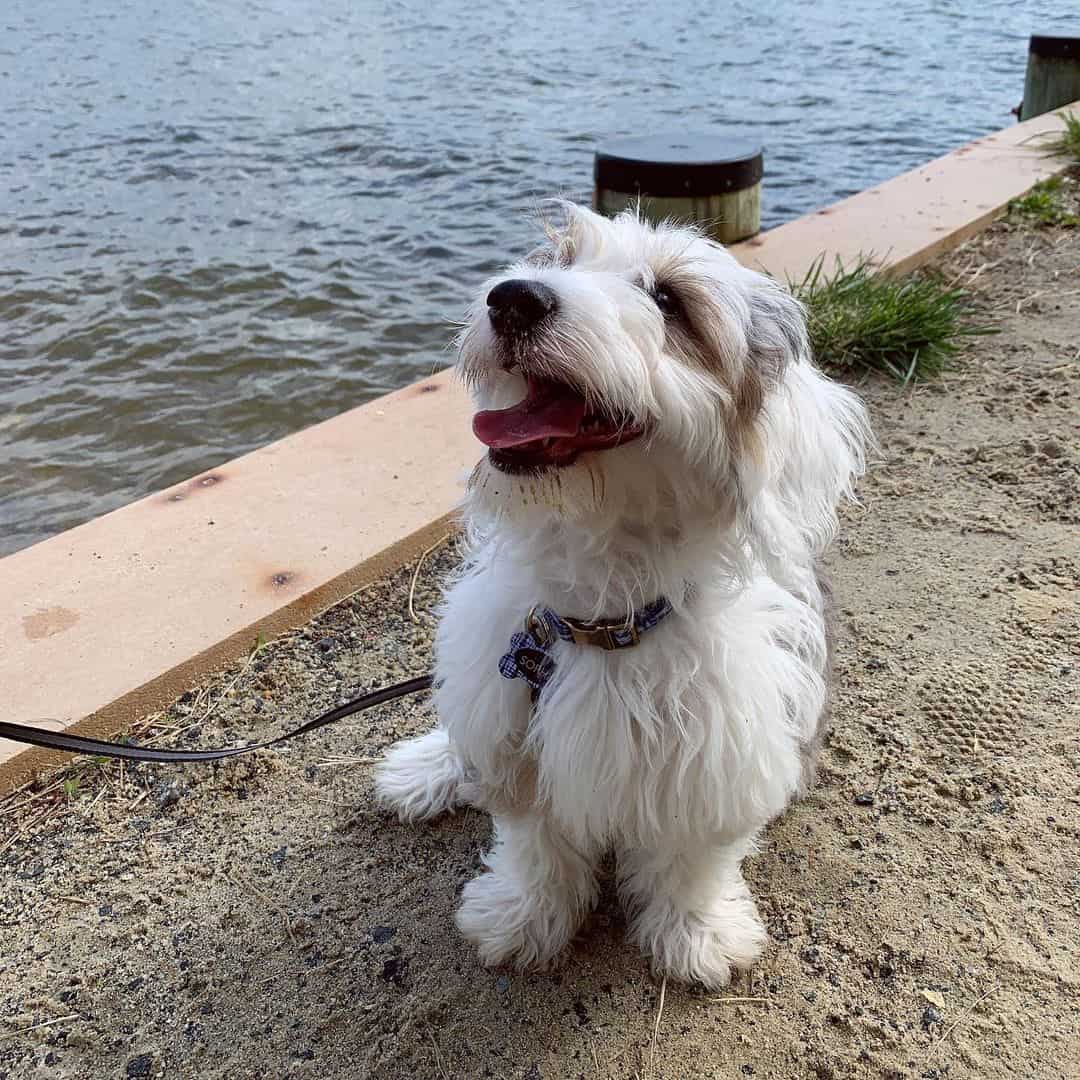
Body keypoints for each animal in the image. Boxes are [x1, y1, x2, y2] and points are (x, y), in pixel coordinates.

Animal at [378, 203, 868, 989]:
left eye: (670, 300)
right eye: (560, 259)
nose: (513, 297)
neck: (598, 620)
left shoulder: (719, 757)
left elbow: (692, 860)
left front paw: (699, 934)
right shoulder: (519, 731)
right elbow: (535, 844)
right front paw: (520, 917)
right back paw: (428, 770)